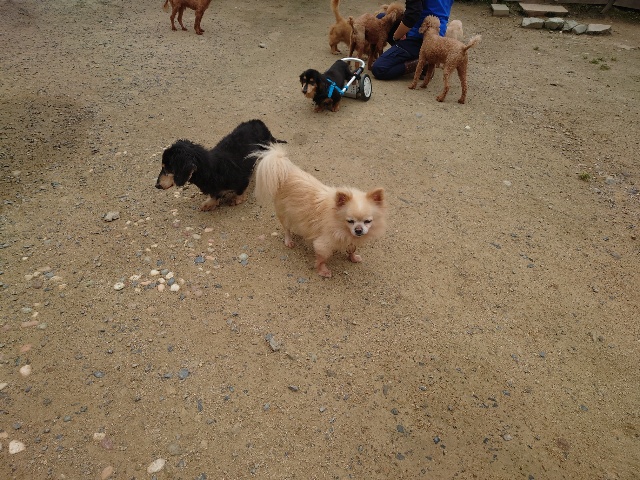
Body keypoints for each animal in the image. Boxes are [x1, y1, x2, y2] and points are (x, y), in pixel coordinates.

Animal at [155, 120, 285, 211]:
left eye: (167, 168)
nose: (157, 186)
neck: (210, 169)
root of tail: (258, 121)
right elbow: (214, 195)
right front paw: (210, 203)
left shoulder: (242, 180)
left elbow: (240, 191)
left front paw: (237, 199)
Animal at [253, 143, 386, 278]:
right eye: (350, 221)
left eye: (367, 221)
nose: (358, 230)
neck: (341, 226)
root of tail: (285, 170)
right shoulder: (323, 243)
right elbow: (322, 258)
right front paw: (323, 271)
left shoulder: (350, 240)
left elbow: (352, 248)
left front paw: (353, 257)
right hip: (285, 213)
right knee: (287, 229)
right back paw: (289, 241)